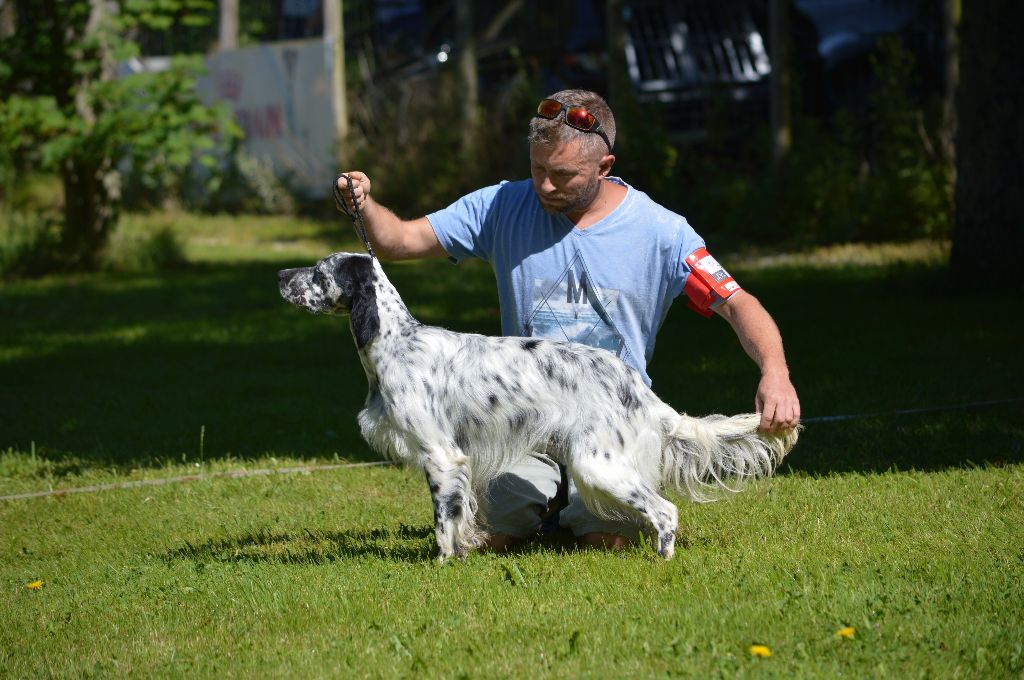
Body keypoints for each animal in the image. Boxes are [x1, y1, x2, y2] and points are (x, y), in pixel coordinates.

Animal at [280, 251, 798, 561]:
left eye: (319, 272)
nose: (281, 275)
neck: (395, 342)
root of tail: (641, 391)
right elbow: (461, 517)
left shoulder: (441, 456)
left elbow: (444, 521)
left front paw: (443, 564)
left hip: (598, 465)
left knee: (666, 511)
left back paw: (663, 560)